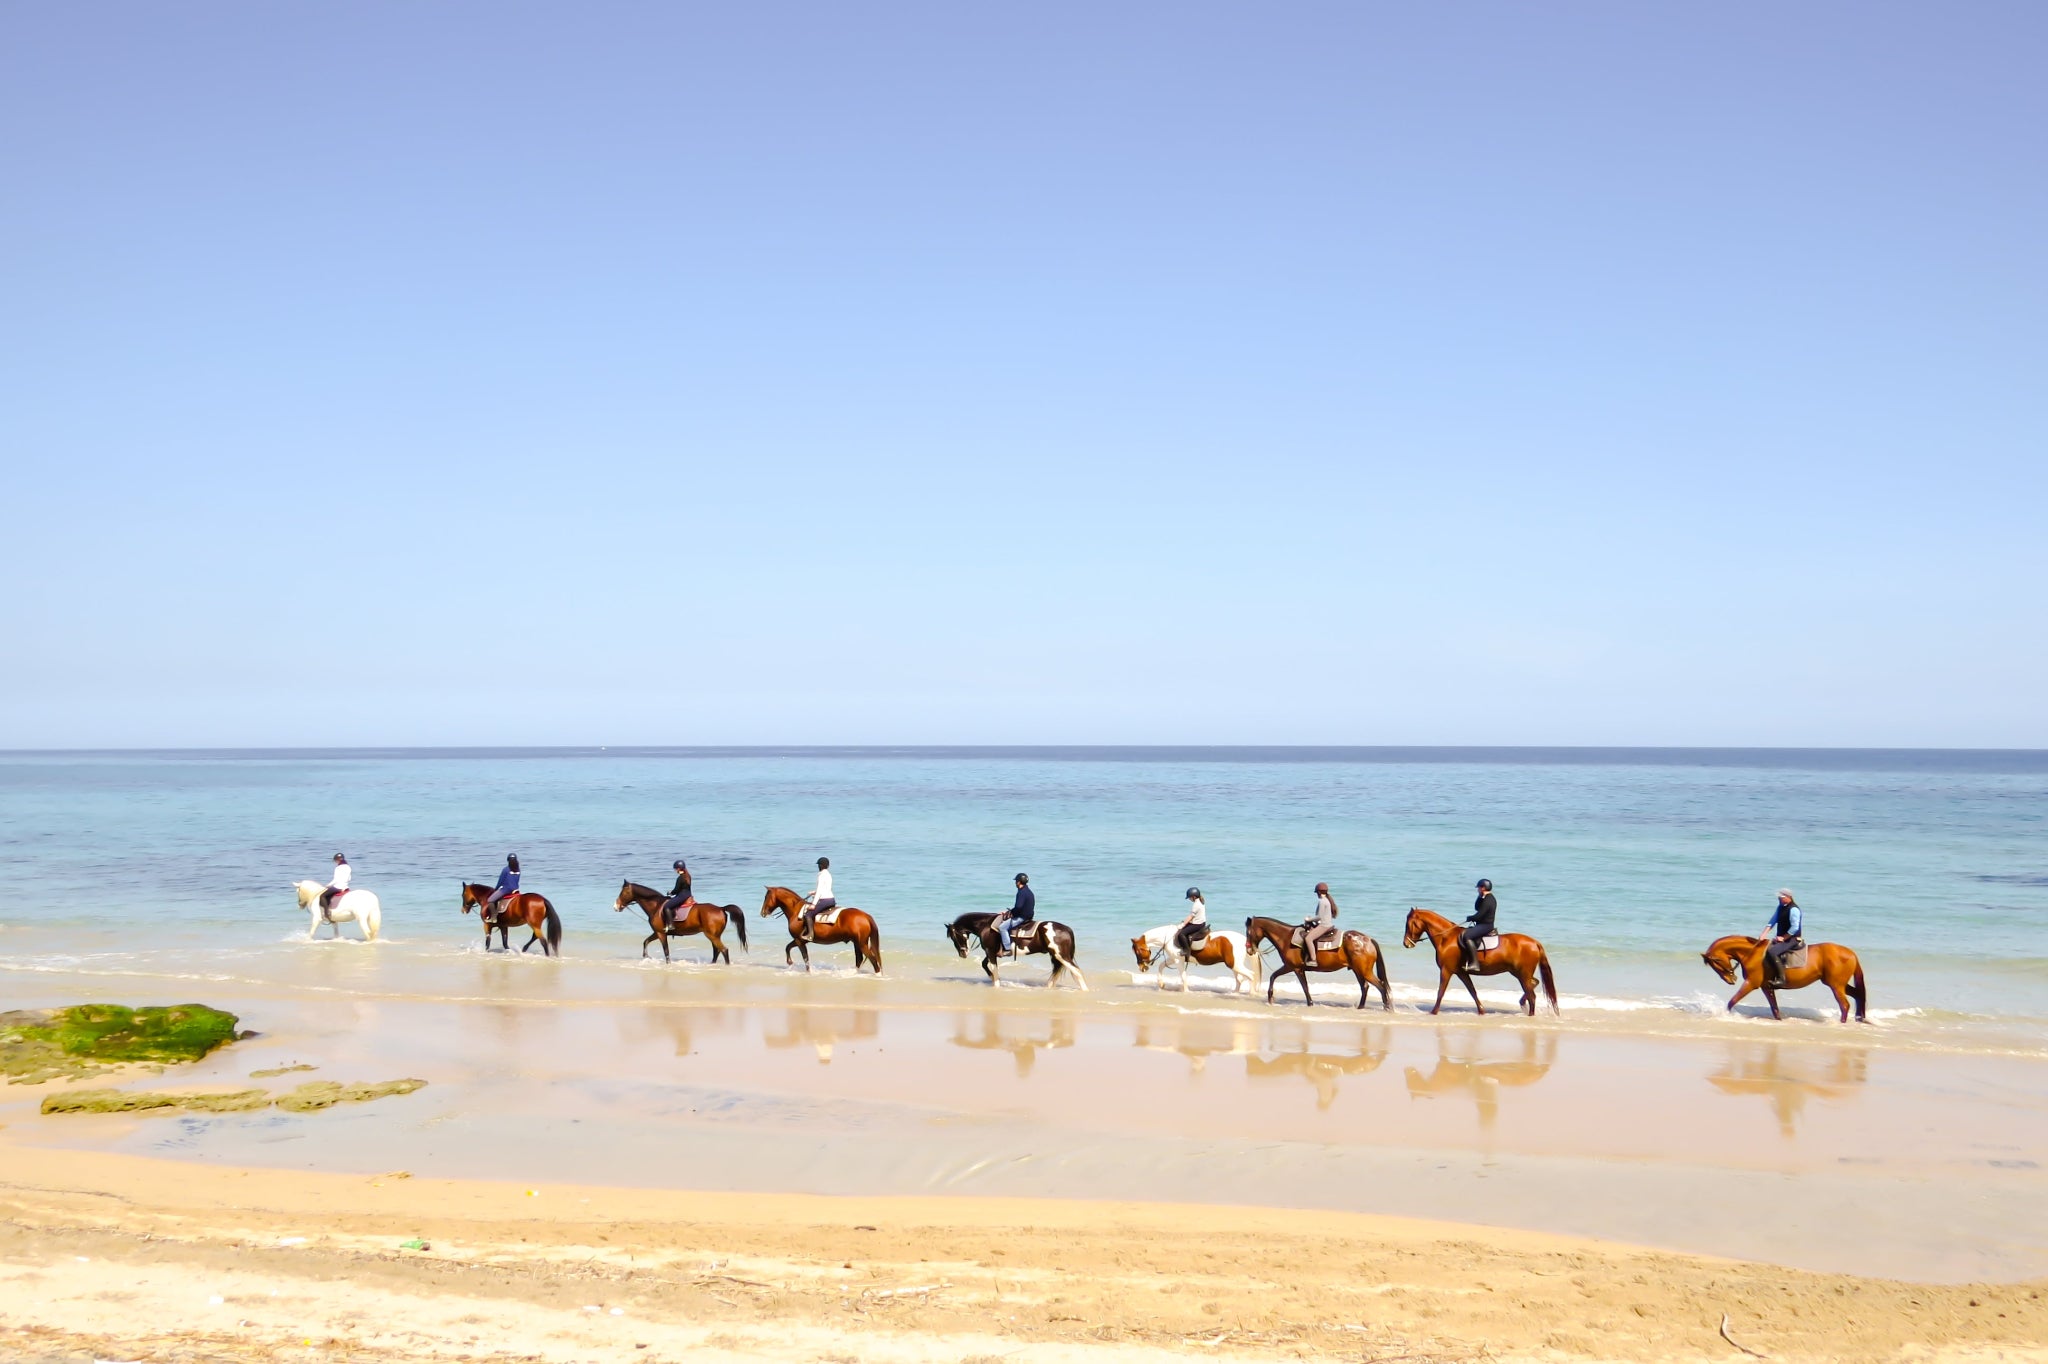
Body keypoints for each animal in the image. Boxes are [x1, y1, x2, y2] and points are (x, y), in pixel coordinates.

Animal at [613, 881, 747, 963]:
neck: (656, 906)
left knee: (723, 950)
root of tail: (721, 908)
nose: (616, 907)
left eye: (623, 892)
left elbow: (666, 951)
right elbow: (645, 942)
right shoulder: (658, 932)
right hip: (714, 936)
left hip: (712, 935)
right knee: (717, 950)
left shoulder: (661, 934)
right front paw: (646, 956)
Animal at [945, 912, 1087, 989]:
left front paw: (996, 983)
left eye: (954, 937)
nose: (962, 953)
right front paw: (992, 978)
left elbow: (993, 969)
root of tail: (1067, 929)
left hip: (1062, 956)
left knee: (1077, 972)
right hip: (1057, 956)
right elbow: (984, 964)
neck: (986, 925)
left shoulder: (990, 952)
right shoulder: (991, 952)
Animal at [1242, 916, 1392, 1010]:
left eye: (1248, 932)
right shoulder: (1295, 968)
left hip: (1364, 971)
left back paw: (1388, 1007)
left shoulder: (1293, 967)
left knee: (1381, 986)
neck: (1286, 938)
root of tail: (1368, 939)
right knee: (1365, 987)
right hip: (1358, 970)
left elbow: (1300, 985)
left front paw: (1271, 997)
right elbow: (1297, 984)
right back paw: (1361, 1007)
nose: (1249, 950)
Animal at [1402, 907, 1557, 1016]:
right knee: (1534, 984)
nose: (1406, 944)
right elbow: (1472, 991)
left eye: (1409, 924)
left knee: (1532, 995)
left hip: (1522, 974)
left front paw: (1433, 1012)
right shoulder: (1461, 972)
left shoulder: (1446, 970)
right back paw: (1522, 1003)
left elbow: (1441, 991)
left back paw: (1529, 1013)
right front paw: (1481, 1011)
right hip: (1519, 973)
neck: (1446, 938)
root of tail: (1535, 942)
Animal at [1701, 934, 1867, 1023]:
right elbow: (1774, 1008)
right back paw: (1859, 1018)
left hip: (1836, 985)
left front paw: (1725, 1015)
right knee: (1858, 995)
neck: (1752, 953)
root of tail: (1851, 953)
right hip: (1837, 983)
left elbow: (1732, 1001)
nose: (1731, 980)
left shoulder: (1750, 984)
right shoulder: (1766, 987)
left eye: (1716, 964)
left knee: (1845, 1005)